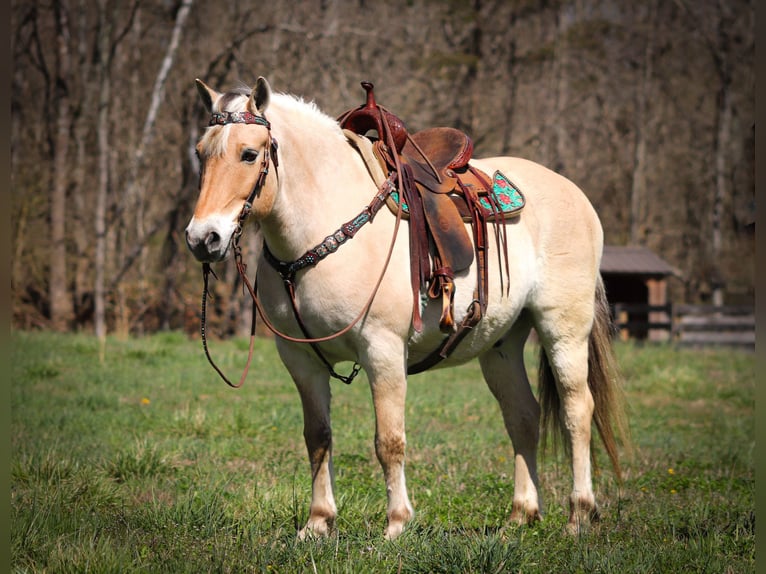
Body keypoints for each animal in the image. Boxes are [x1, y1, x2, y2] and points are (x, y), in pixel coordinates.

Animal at [186, 75, 632, 540]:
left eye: (249, 154)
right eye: (200, 152)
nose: (203, 239)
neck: (322, 228)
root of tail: (574, 193)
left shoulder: (383, 350)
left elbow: (389, 440)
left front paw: (397, 523)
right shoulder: (300, 359)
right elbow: (318, 437)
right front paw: (318, 523)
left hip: (563, 328)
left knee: (576, 410)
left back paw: (579, 513)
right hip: (502, 345)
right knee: (522, 415)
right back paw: (521, 515)